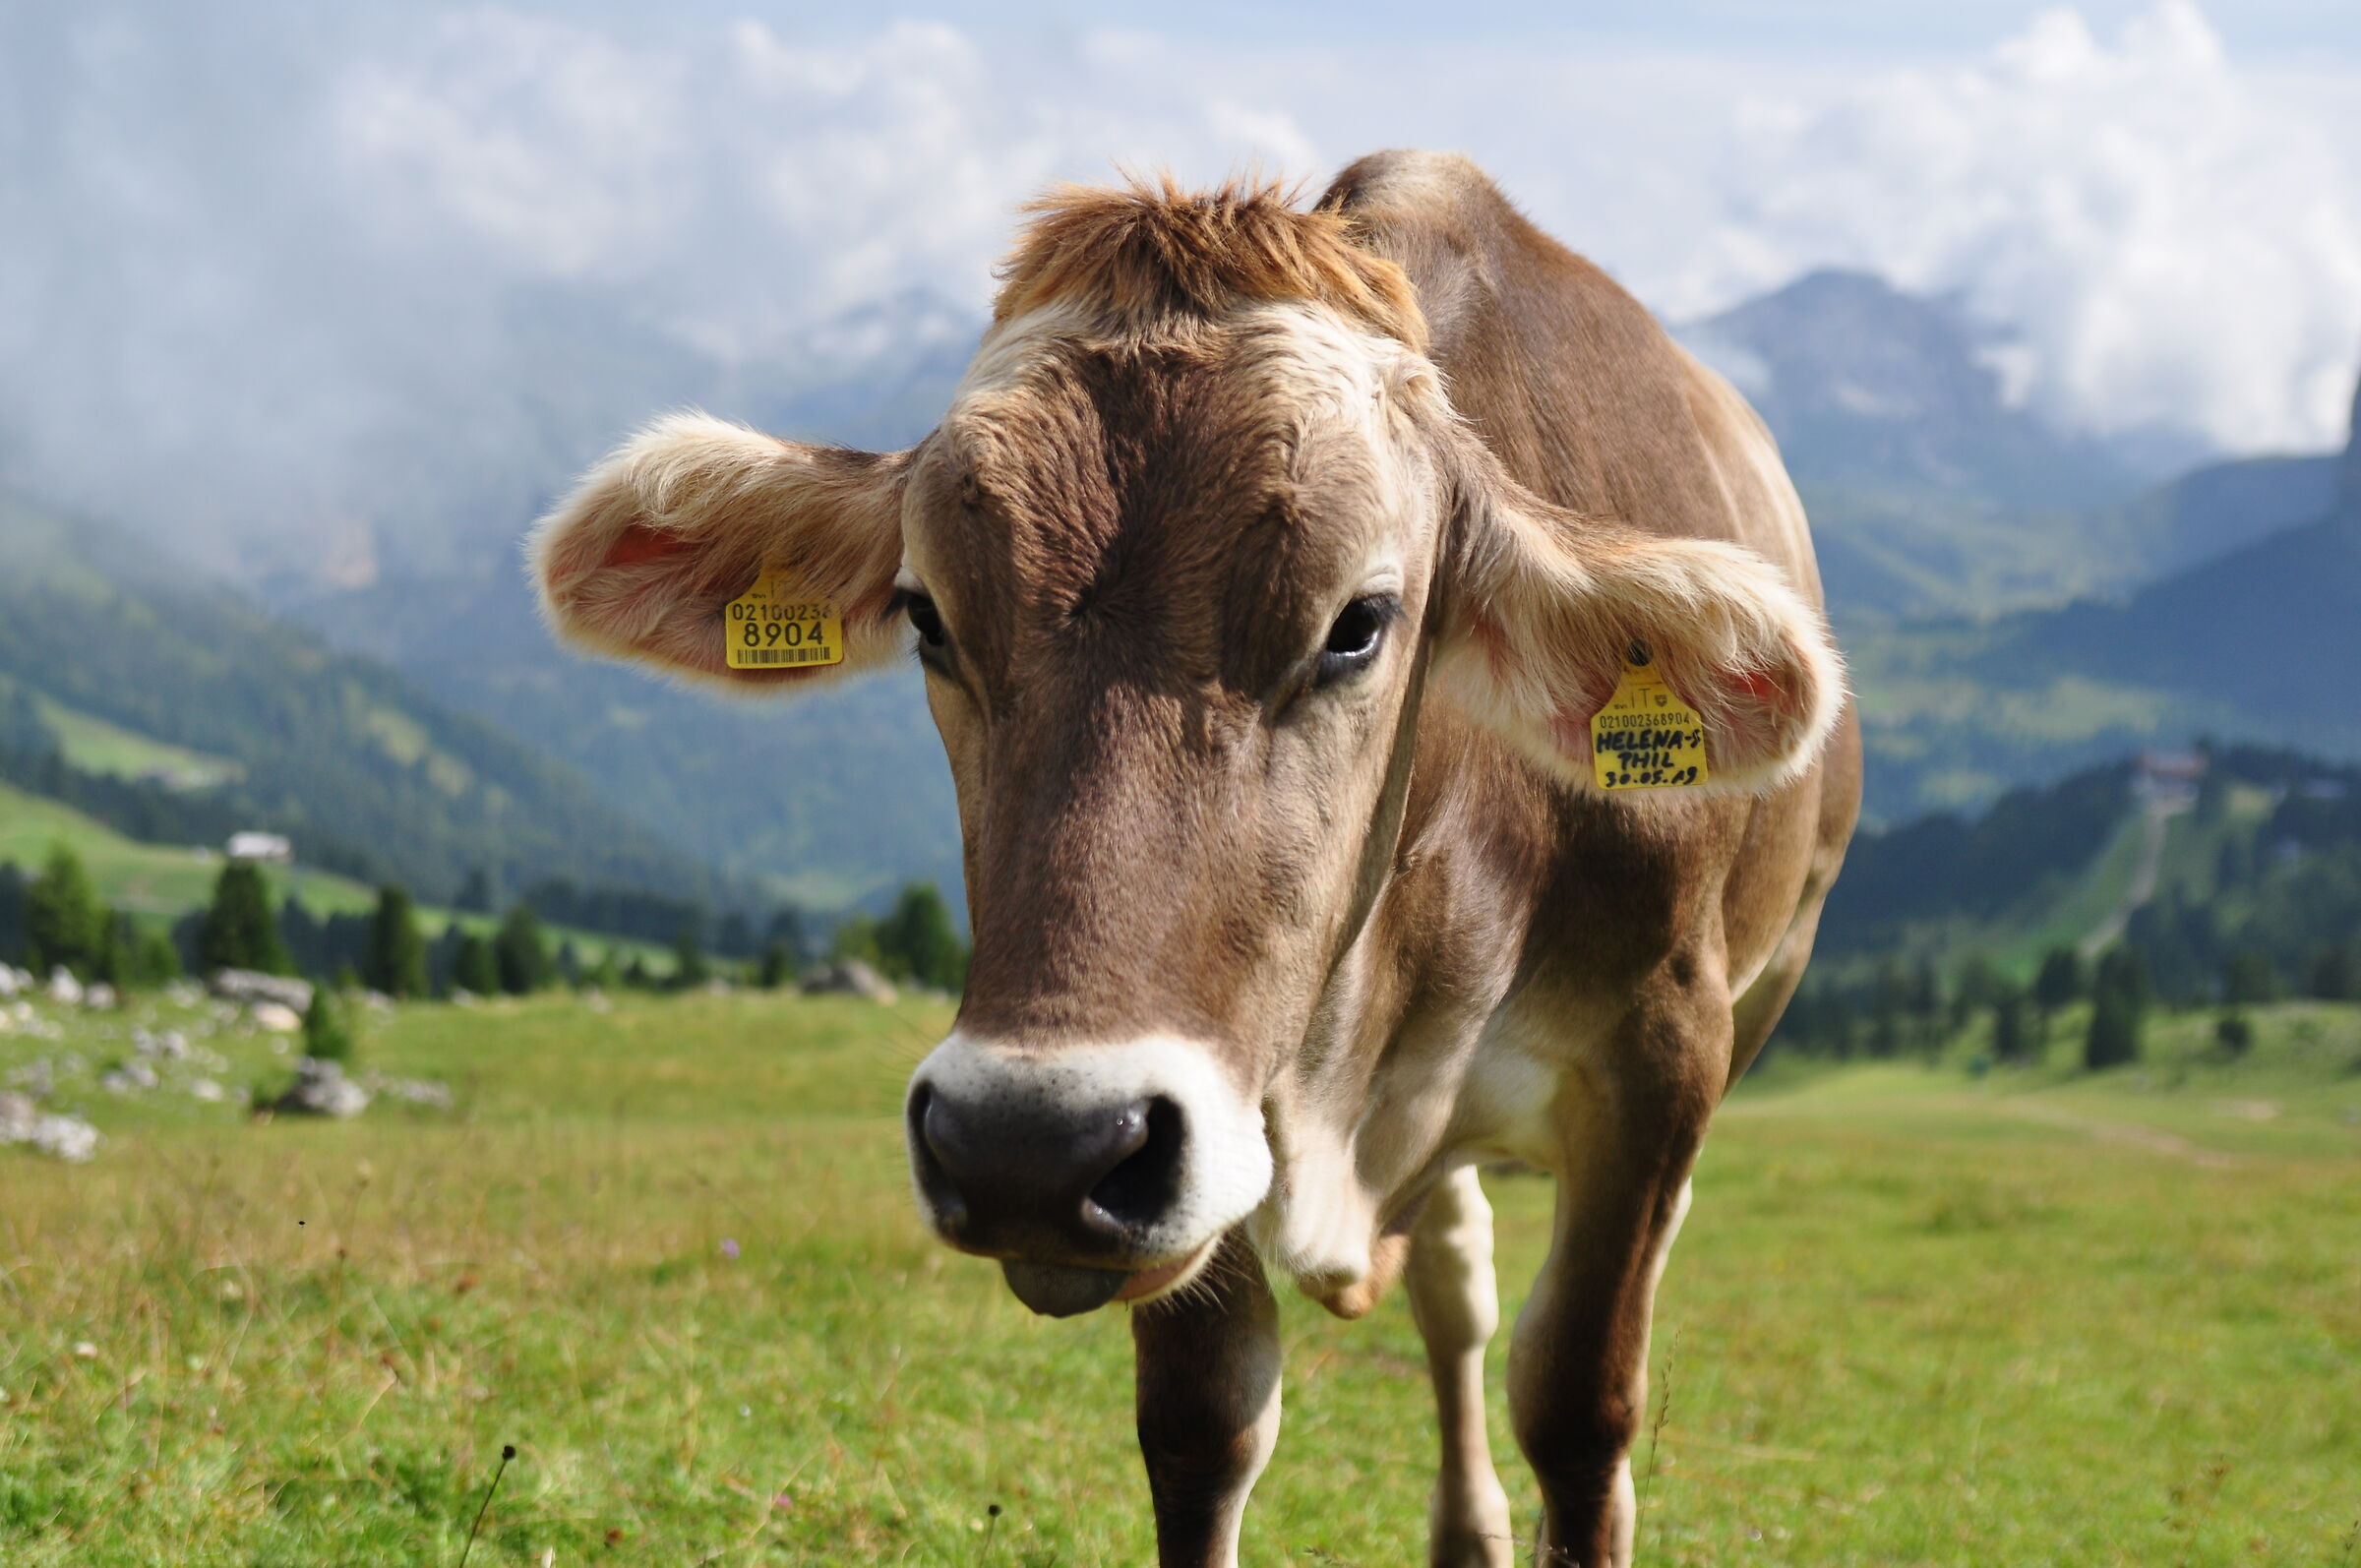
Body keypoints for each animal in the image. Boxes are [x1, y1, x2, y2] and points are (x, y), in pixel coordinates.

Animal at [532, 152, 1860, 1568]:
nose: (1024, 1146)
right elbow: (1205, 1421)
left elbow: (1578, 1403)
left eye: (1359, 623)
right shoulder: (1218, 1110)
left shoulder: (1662, 1056)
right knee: (1455, 1283)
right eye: (927, 615)